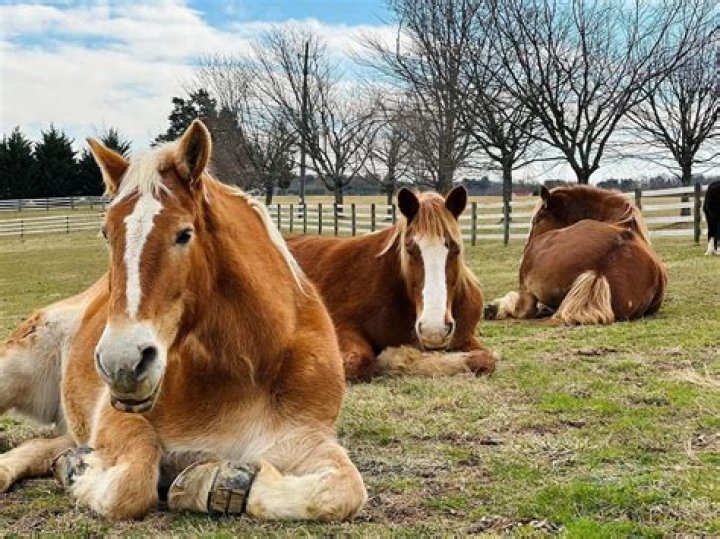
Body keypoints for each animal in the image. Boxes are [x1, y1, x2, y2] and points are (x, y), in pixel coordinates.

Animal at [0, 120, 366, 520]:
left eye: (184, 234)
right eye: (106, 233)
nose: (122, 364)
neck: (246, 368)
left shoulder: (303, 438)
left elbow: (339, 492)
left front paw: (208, 483)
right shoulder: (116, 418)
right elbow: (130, 485)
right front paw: (78, 472)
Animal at [286, 187, 497, 381]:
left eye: (456, 248)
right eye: (410, 248)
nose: (434, 330)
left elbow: (486, 358)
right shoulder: (341, 326)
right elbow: (357, 361)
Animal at [485, 184, 666, 325]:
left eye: (538, 219)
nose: (525, 248)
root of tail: (598, 271)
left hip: (526, 287)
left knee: (523, 309)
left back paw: (493, 309)